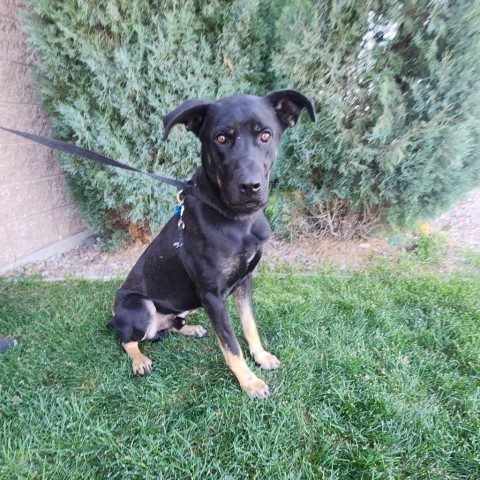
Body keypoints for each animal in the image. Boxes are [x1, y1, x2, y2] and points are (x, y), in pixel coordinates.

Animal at [110, 90, 316, 398]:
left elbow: (250, 326)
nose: (250, 186)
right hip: (139, 305)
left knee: (168, 326)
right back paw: (139, 360)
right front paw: (249, 381)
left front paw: (261, 357)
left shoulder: (244, 281)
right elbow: (231, 345)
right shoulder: (212, 295)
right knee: (128, 339)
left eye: (265, 135)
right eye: (220, 138)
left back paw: (190, 328)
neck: (237, 220)